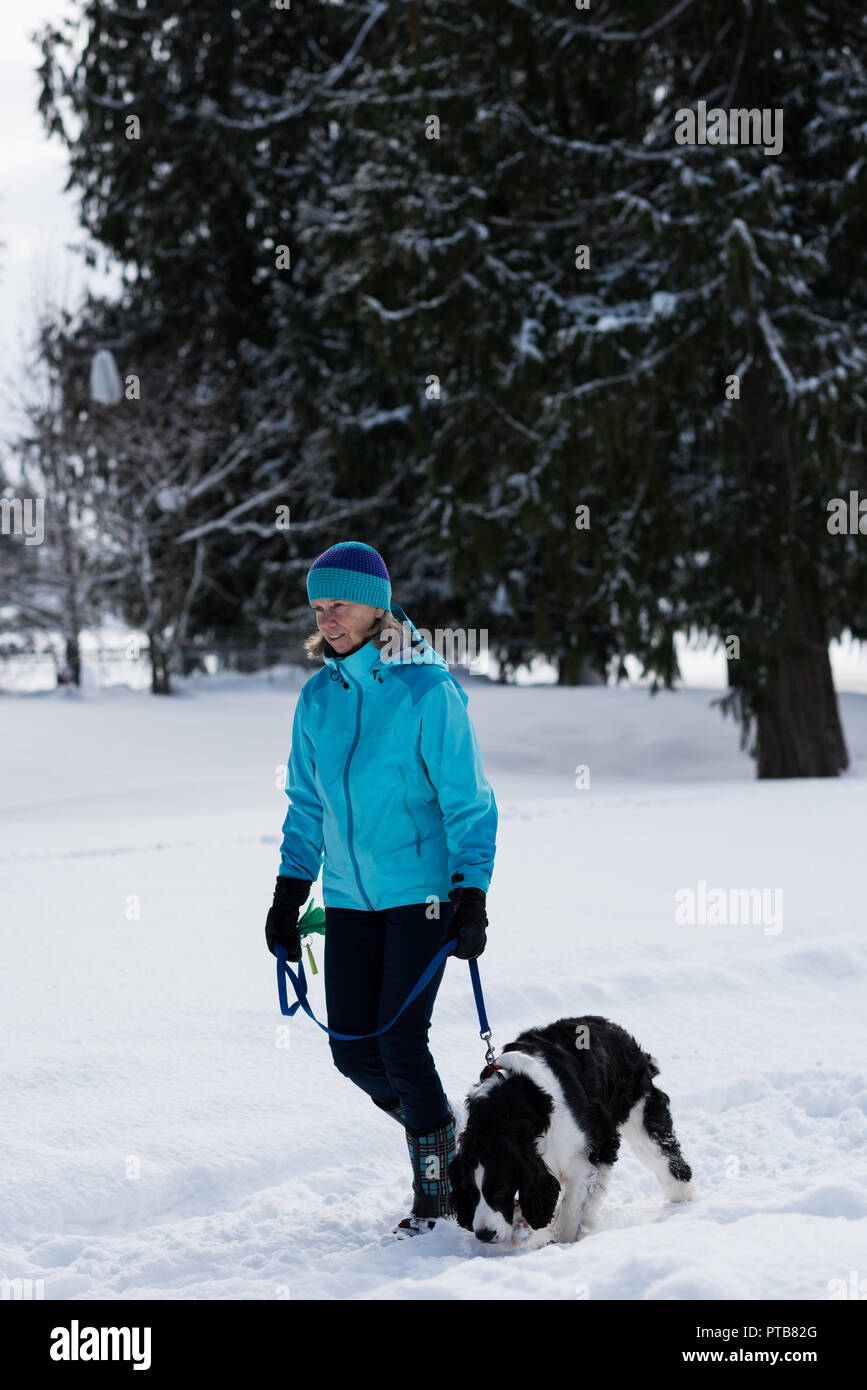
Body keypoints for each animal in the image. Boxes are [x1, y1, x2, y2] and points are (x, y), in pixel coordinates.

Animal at [447, 1011, 697, 1251]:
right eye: (469, 1192)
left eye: (500, 1191)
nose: (484, 1234)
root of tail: (615, 1030)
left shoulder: (592, 1148)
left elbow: (572, 1205)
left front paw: (563, 1243)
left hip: (640, 1112)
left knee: (666, 1158)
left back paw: (684, 1202)